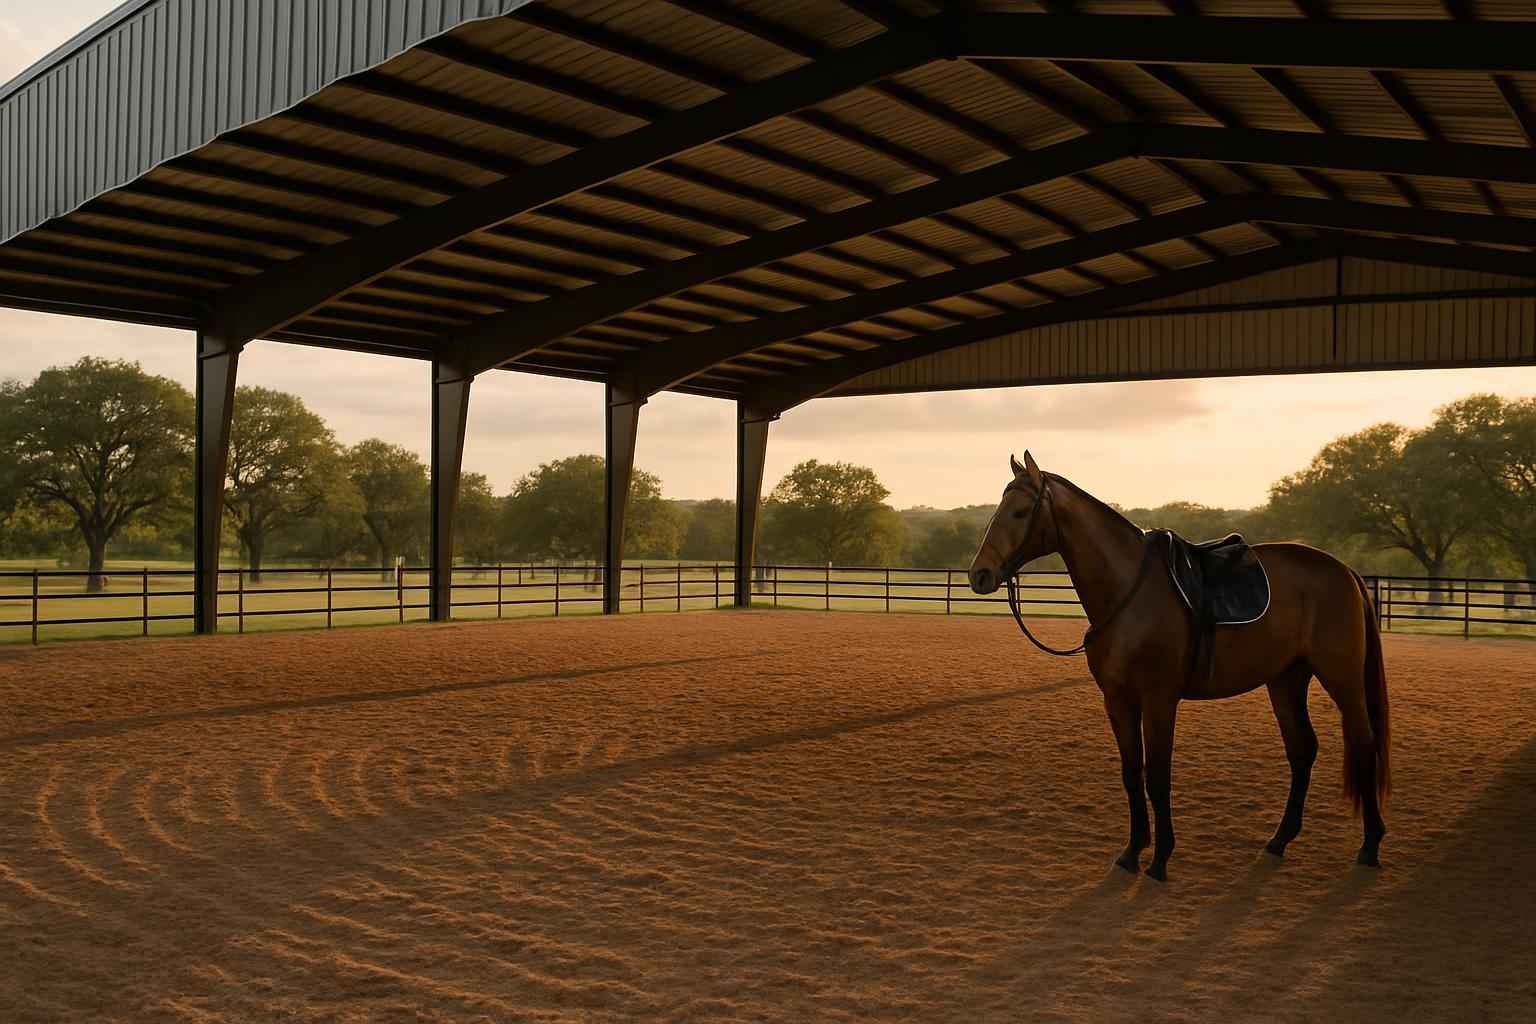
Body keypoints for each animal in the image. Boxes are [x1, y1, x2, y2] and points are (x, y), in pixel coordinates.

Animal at [968, 452, 1390, 882]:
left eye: (1020, 512)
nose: (979, 574)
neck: (1129, 592)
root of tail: (1345, 571)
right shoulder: (1118, 700)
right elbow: (1132, 773)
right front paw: (1132, 851)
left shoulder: (1159, 700)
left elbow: (1158, 776)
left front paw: (1159, 859)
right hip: (1286, 680)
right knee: (1302, 749)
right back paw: (1279, 840)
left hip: (1342, 680)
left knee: (1364, 743)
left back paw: (1370, 844)